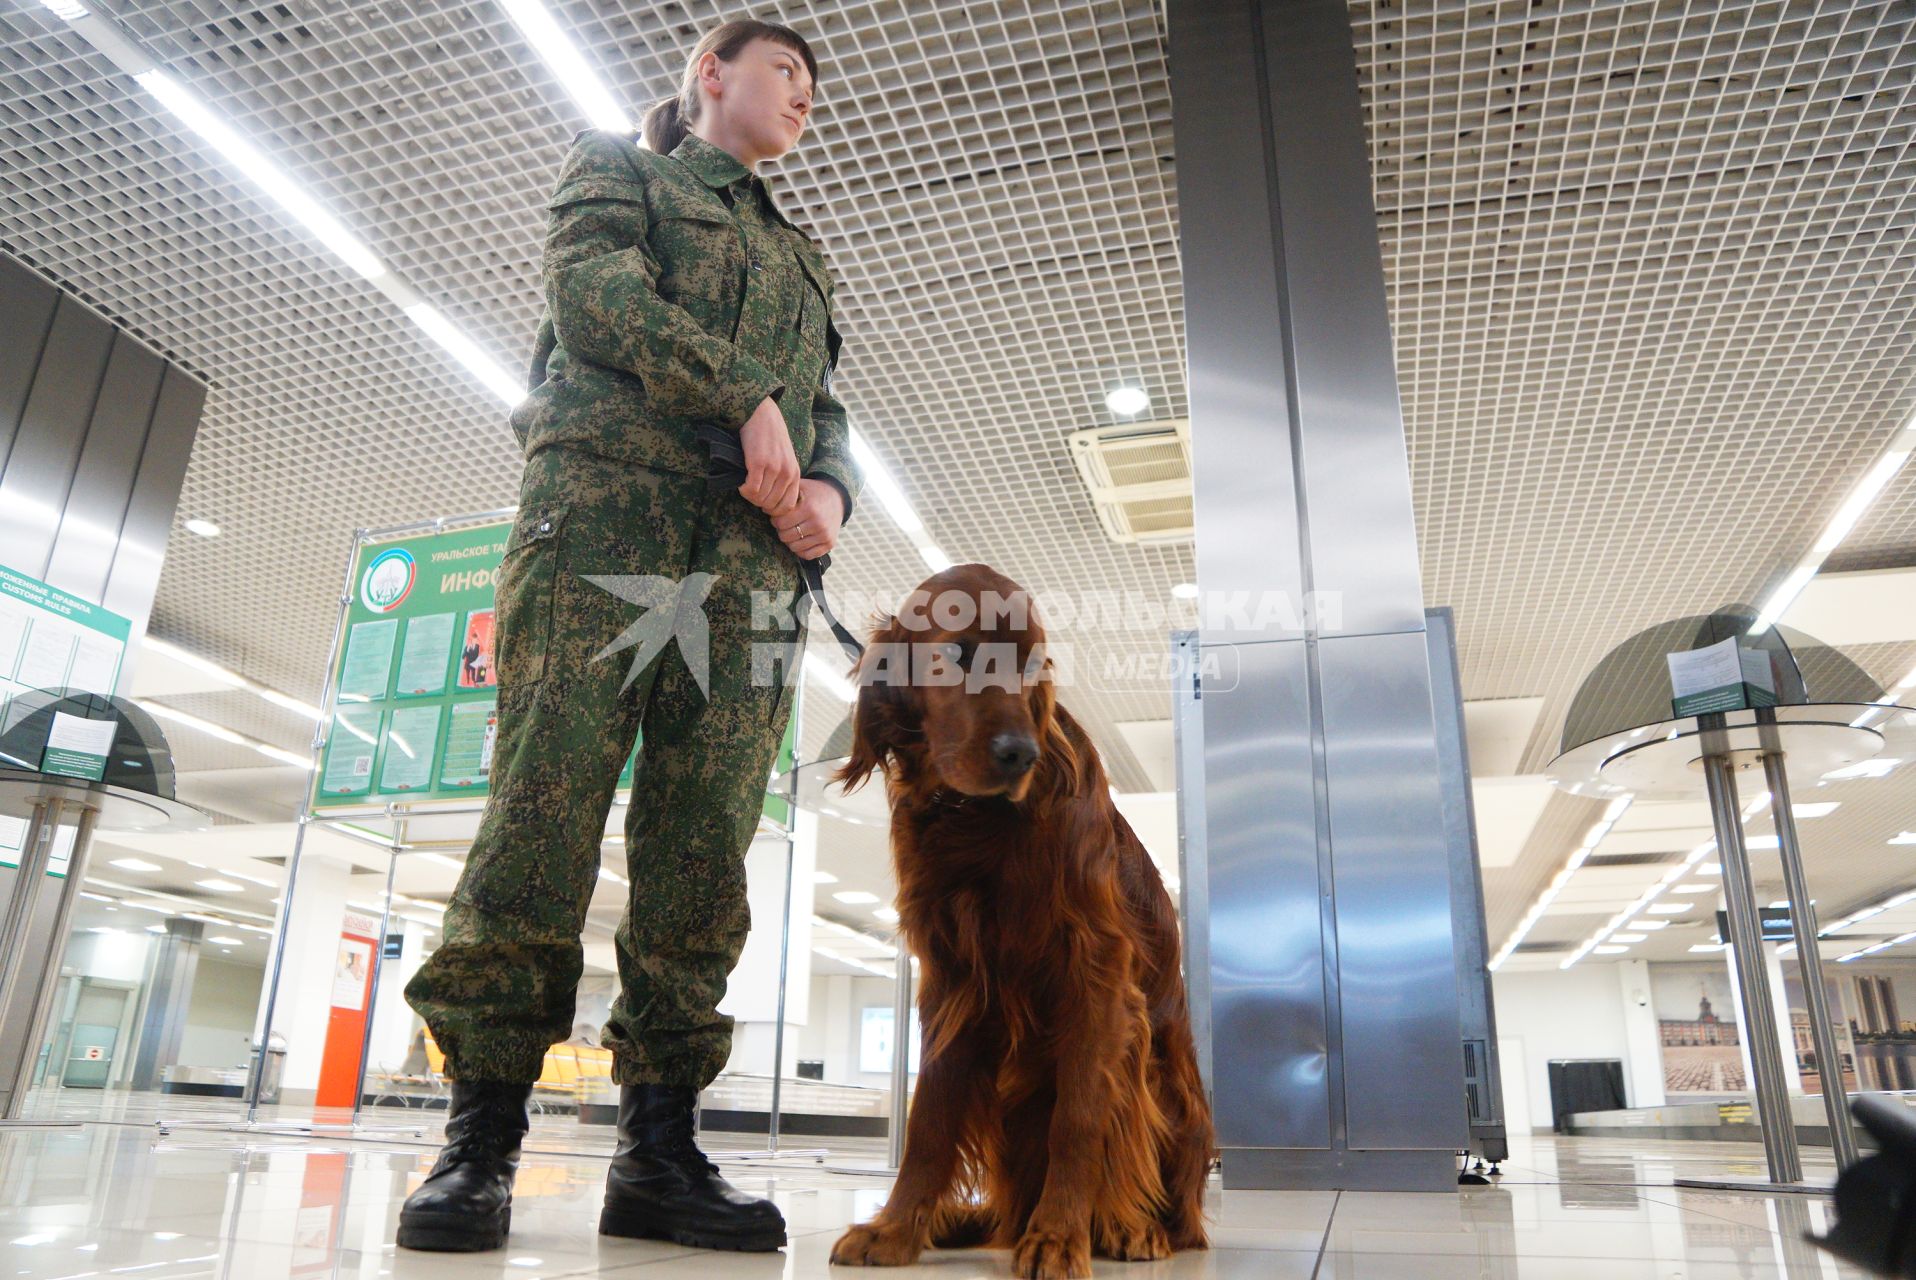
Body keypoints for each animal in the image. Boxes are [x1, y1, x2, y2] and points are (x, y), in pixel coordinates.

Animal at [827, 563, 1210, 1272]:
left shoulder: (1097, 972)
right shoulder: (951, 980)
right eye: (957, 652)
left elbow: (1079, 1118)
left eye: (1031, 664)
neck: (973, 819)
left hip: (1165, 1079)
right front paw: (895, 1227)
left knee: (1182, 1215)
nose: (1020, 754)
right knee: (1005, 1212)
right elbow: (929, 1117)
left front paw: (1058, 1237)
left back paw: (1128, 1228)